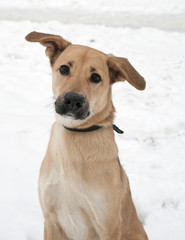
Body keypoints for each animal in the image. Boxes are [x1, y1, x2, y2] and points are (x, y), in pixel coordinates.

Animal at [25, 31, 147, 240]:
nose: (73, 100)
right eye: (64, 68)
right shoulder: (50, 220)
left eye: (96, 77)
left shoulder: (108, 226)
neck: (76, 134)